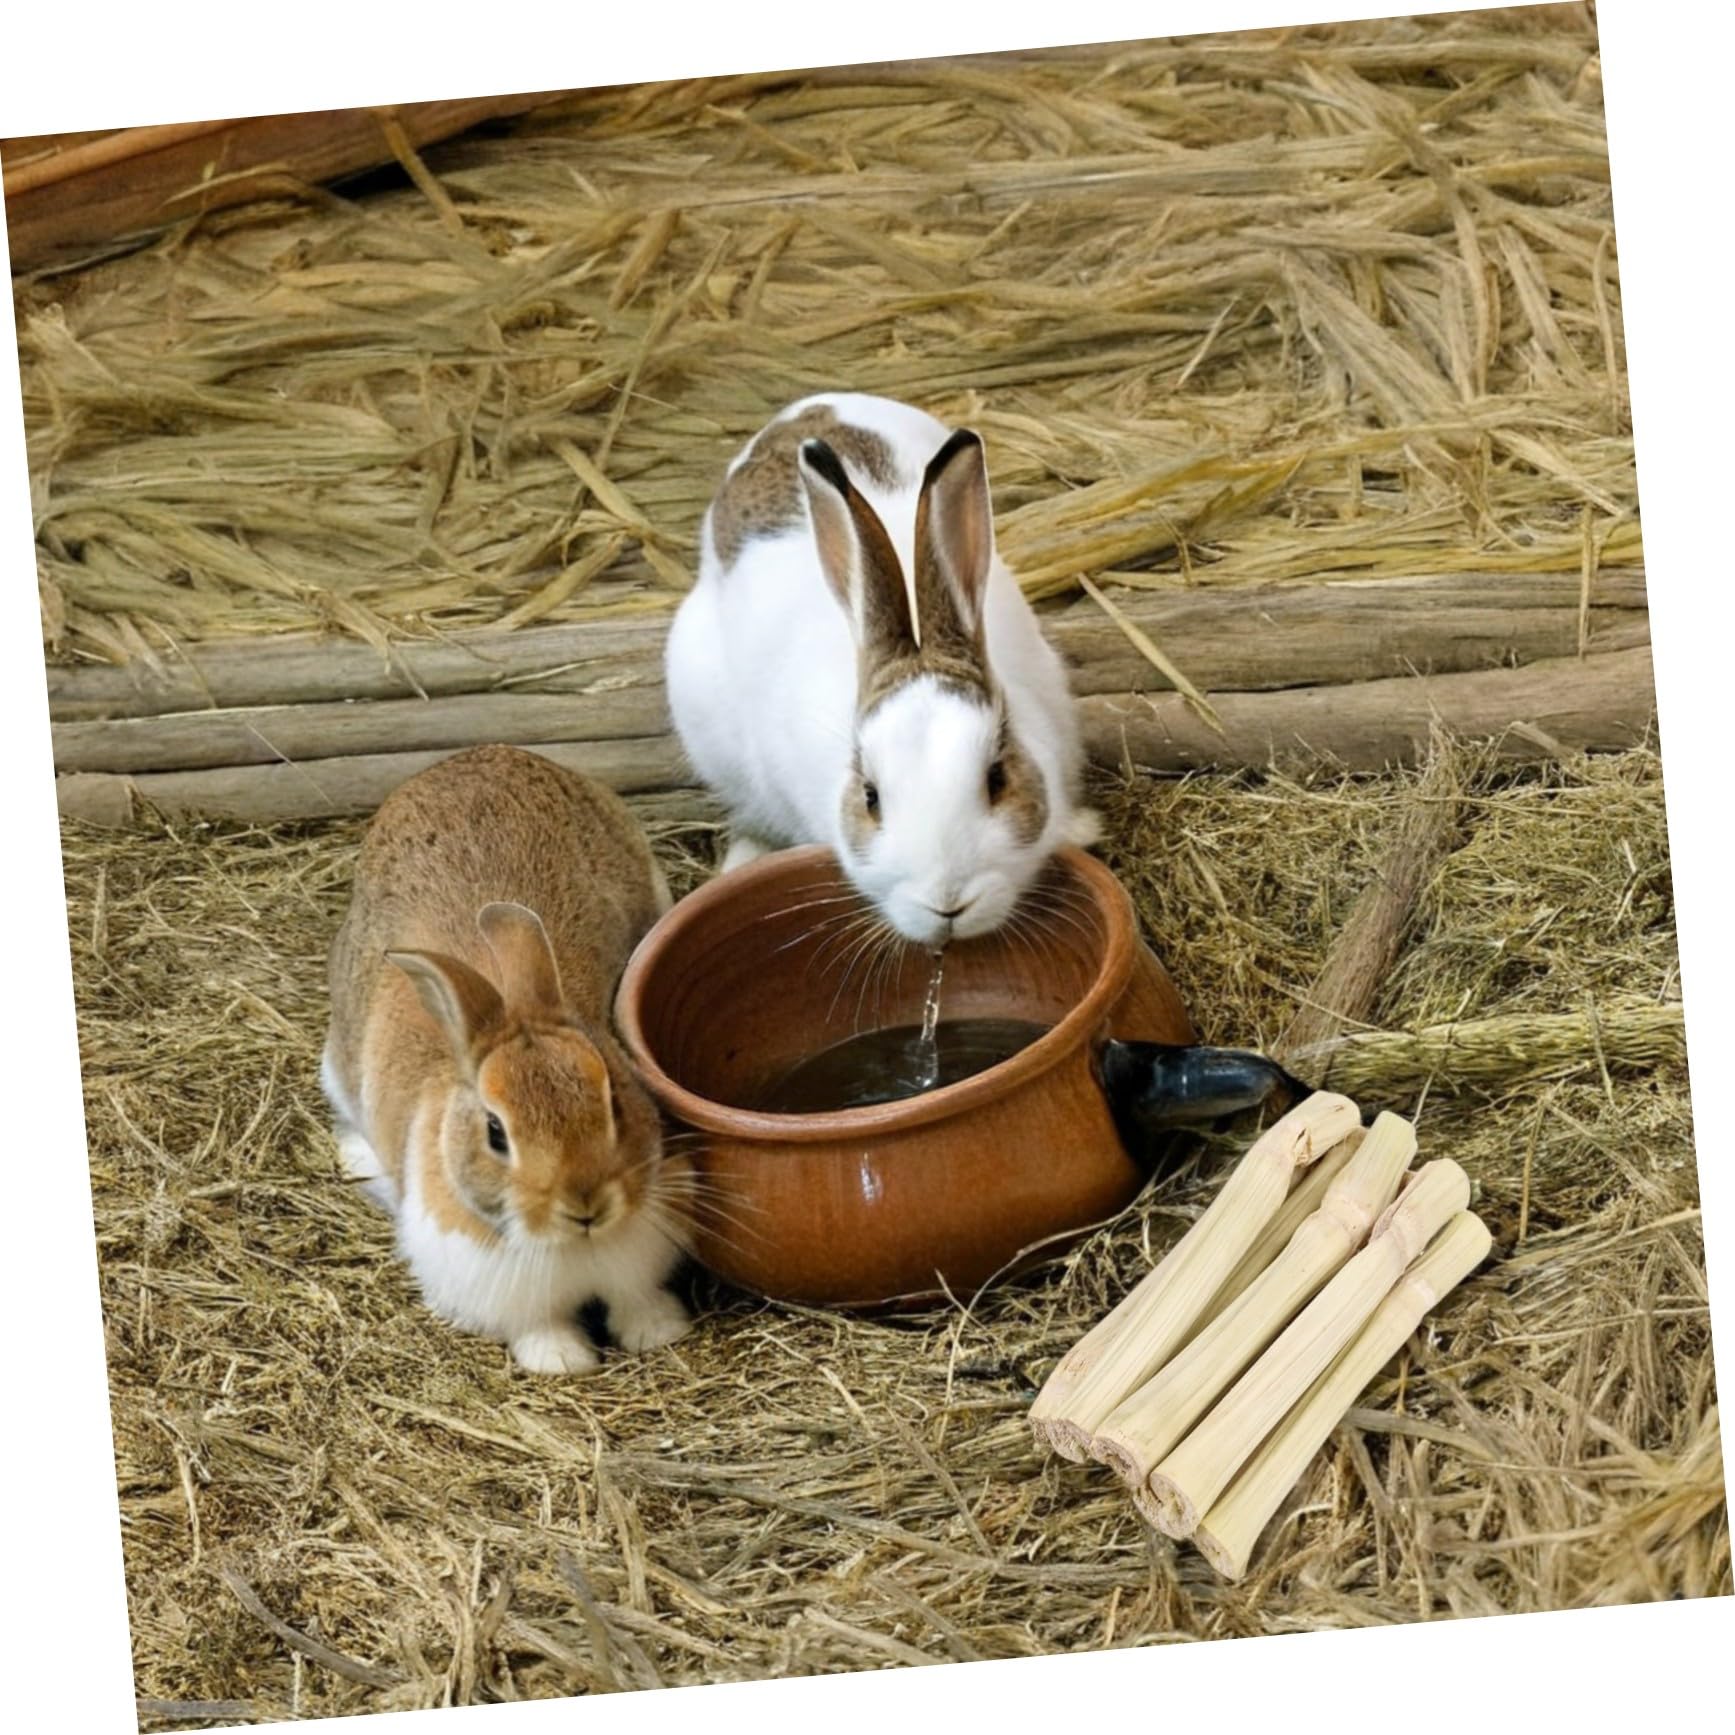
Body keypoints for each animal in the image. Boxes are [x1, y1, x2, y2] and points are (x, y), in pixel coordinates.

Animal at [320, 744, 691, 1375]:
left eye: (614, 1099)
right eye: (496, 1133)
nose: (586, 1203)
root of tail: (470, 756)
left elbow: (638, 1298)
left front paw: (658, 1331)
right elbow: (538, 1328)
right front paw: (562, 1359)